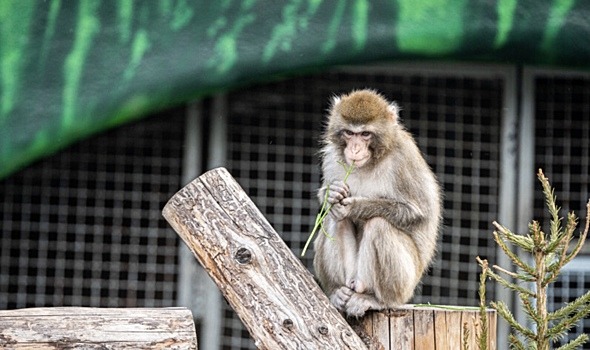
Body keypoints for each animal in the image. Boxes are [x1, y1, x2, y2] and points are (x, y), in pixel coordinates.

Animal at [312, 89, 442, 318]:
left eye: (365, 134)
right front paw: (331, 194)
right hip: (352, 275)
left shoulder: (404, 158)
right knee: (333, 220)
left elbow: (417, 212)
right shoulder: (331, 156)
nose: (354, 149)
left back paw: (377, 299)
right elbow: (332, 204)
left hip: (405, 284)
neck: (373, 160)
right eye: (349, 133)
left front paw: (354, 207)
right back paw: (338, 292)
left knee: (379, 225)